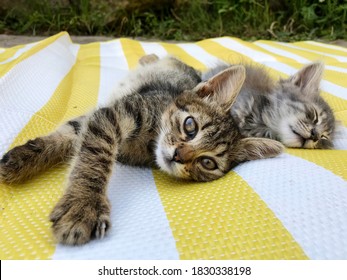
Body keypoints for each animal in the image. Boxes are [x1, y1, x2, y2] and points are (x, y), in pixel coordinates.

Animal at [0, 55, 282, 245]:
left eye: (207, 163)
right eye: (190, 126)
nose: (179, 156)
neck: (148, 144)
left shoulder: (97, 120)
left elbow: (76, 140)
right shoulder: (112, 114)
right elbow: (92, 154)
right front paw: (83, 204)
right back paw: (149, 57)